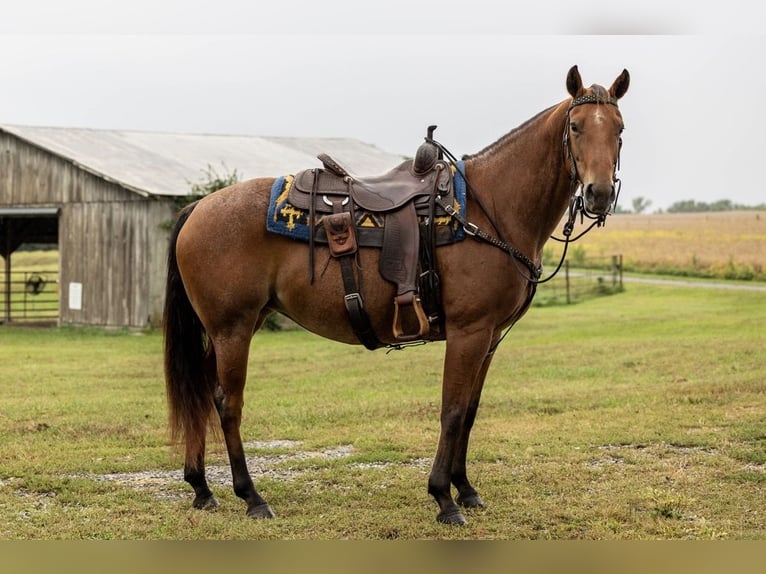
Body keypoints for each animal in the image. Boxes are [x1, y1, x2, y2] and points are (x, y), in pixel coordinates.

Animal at [163, 65, 630, 525]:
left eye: (619, 129)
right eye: (575, 126)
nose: (599, 193)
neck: (490, 208)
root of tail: (198, 207)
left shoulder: (490, 337)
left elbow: (470, 411)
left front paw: (466, 490)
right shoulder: (469, 332)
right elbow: (452, 410)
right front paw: (443, 497)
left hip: (230, 329)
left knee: (202, 394)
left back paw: (202, 488)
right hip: (233, 329)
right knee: (228, 403)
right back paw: (251, 496)